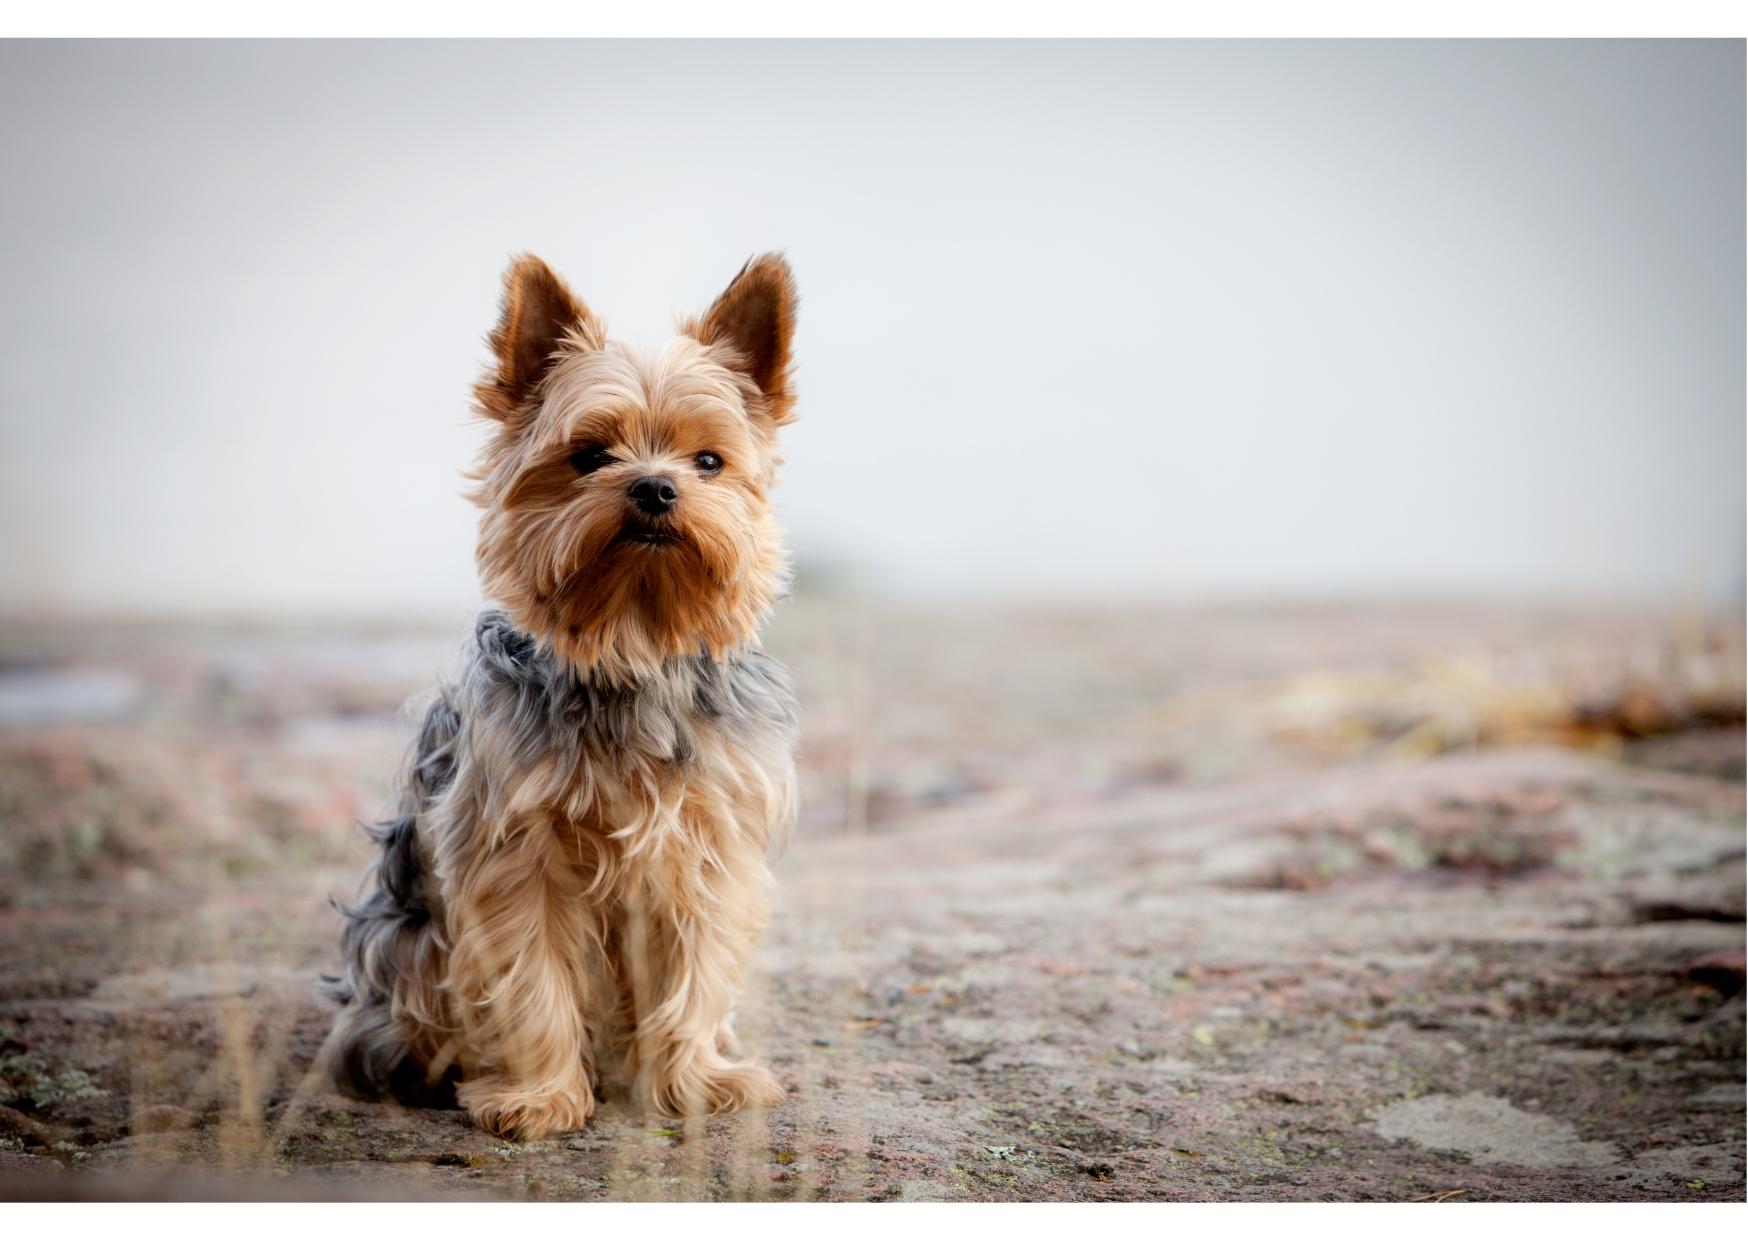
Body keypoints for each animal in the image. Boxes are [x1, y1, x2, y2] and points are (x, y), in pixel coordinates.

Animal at [321, 253, 800, 1140]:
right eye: (589, 455)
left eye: (709, 462)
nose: (654, 489)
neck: (632, 641)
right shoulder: (513, 852)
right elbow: (531, 975)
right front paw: (539, 1097)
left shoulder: (706, 845)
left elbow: (696, 967)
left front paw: (695, 1080)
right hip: (407, 943)